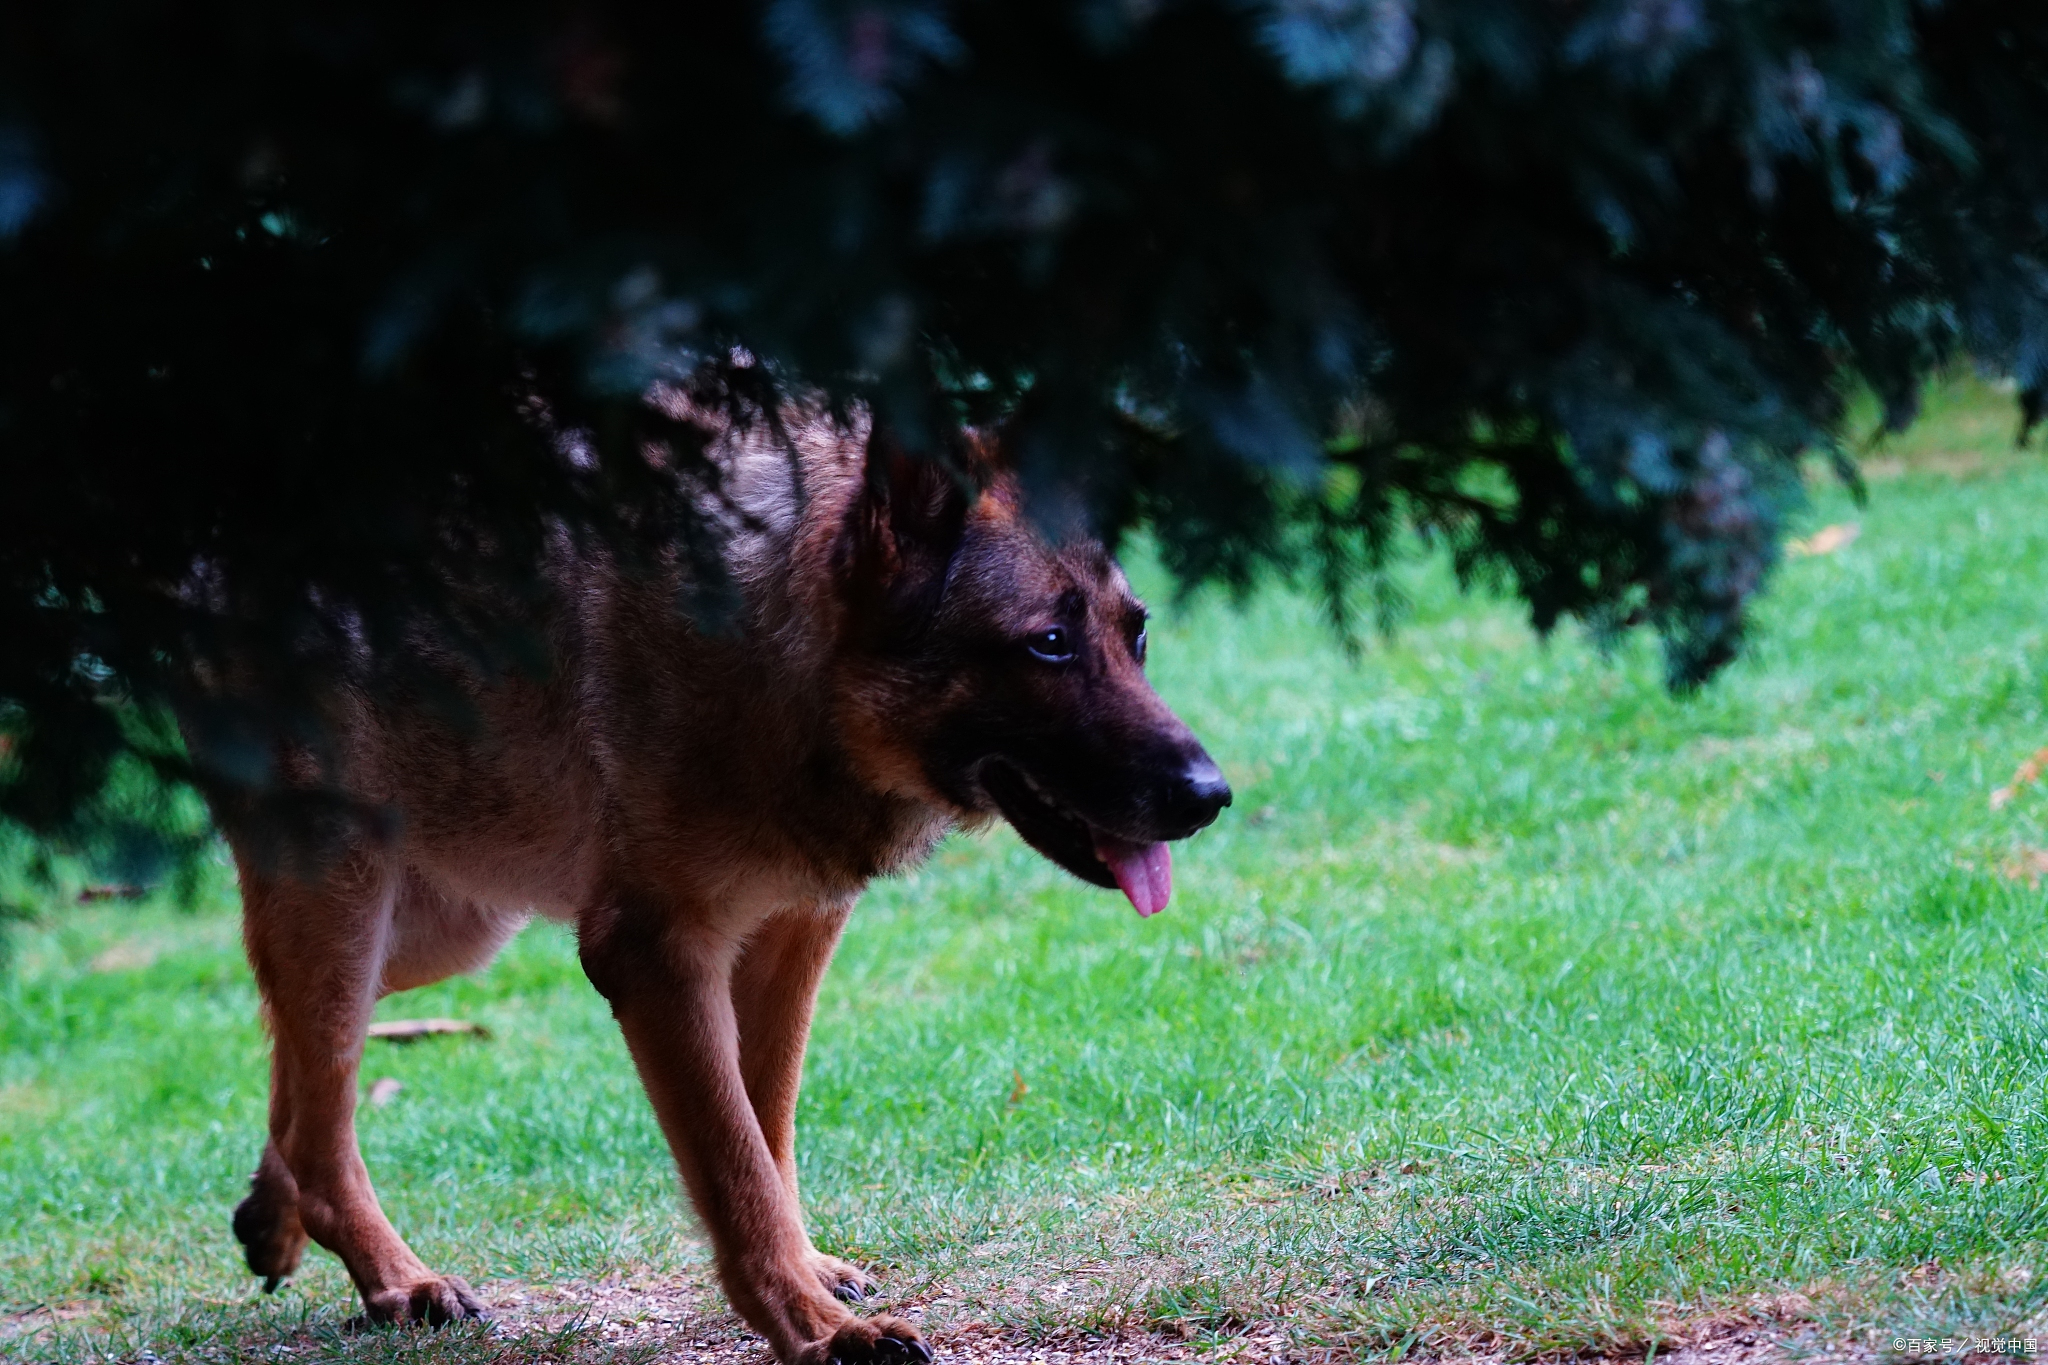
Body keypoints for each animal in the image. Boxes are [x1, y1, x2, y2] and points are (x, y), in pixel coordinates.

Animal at [214, 413, 1220, 1365]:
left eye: (1136, 634)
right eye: (1047, 644)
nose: (1211, 795)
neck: (778, 642)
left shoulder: (790, 934)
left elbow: (766, 1128)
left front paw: (809, 1278)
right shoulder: (654, 958)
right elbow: (736, 1165)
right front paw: (819, 1333)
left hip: (445, 930)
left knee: (298, 1080)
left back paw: (276, 1217)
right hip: (355, 908)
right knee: (319, 1113)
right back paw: (397, 1280)